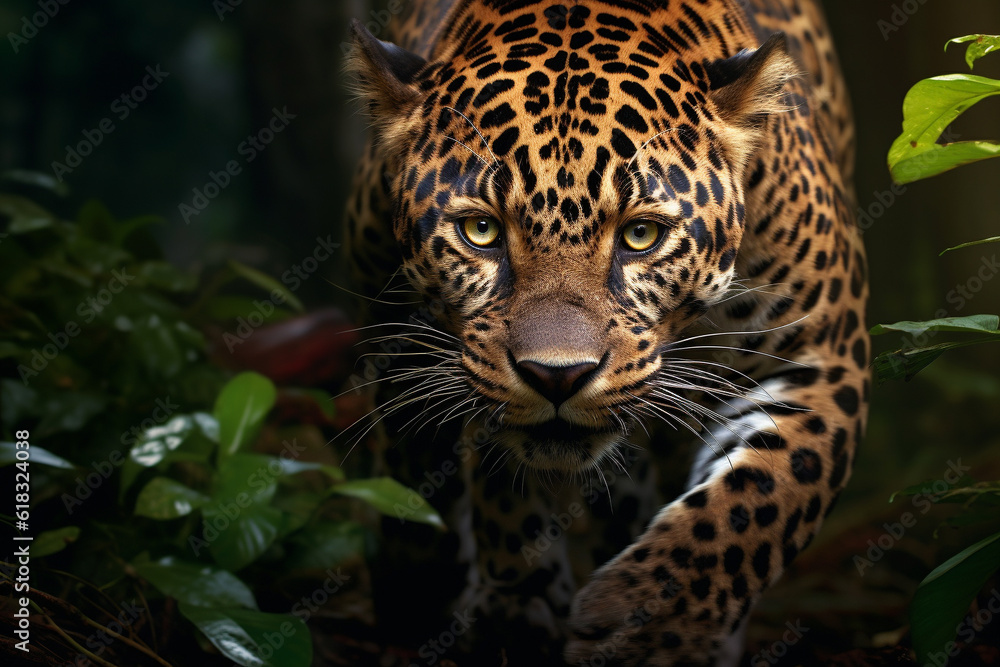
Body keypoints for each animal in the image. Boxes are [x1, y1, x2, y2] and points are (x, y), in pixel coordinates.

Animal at [341, 0, 868, 665]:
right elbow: (502, 483)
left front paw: (649, 625)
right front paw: (519, 607)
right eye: (480, 231)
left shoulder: (821, 358)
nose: (556, 377)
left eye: (641, 235)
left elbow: (762, 496)